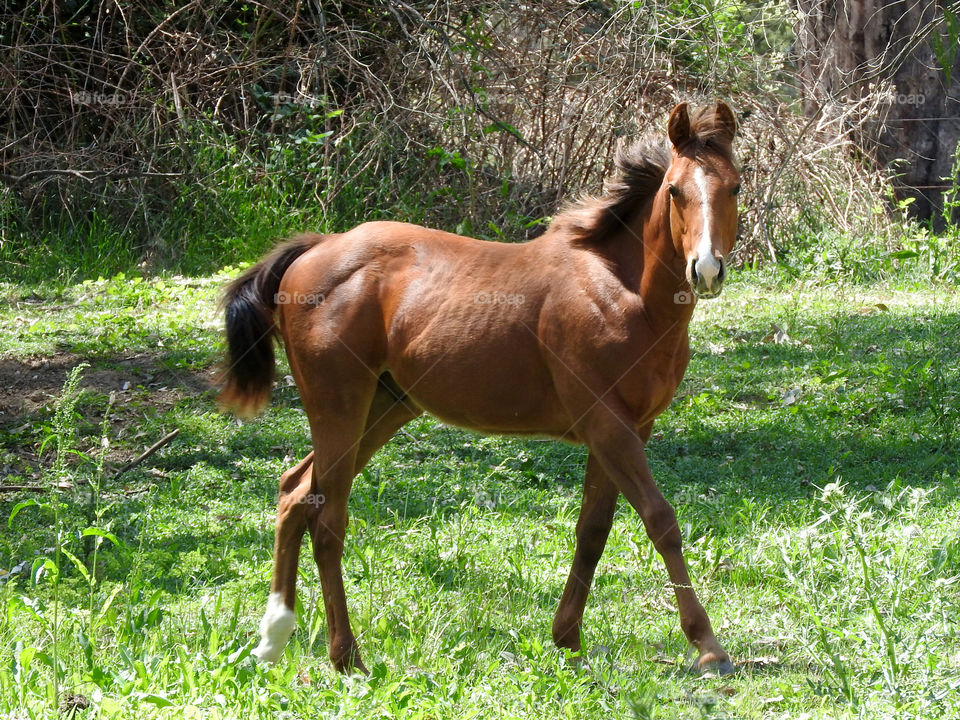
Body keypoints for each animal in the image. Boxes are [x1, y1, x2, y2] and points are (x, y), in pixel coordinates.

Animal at [220, 101, 741, 675]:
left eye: (735, 187)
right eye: (674, 190)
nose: (707, 269)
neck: (623, 292)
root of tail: (317, 248)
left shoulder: (629, 430)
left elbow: (593, 530)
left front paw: (567, 638)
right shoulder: (608, 425)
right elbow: (660, 519)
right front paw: (708, 645)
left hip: (383, 409)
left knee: (294, 492)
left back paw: (272, 639)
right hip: (340, 407)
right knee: (327, 518)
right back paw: (346, 656)